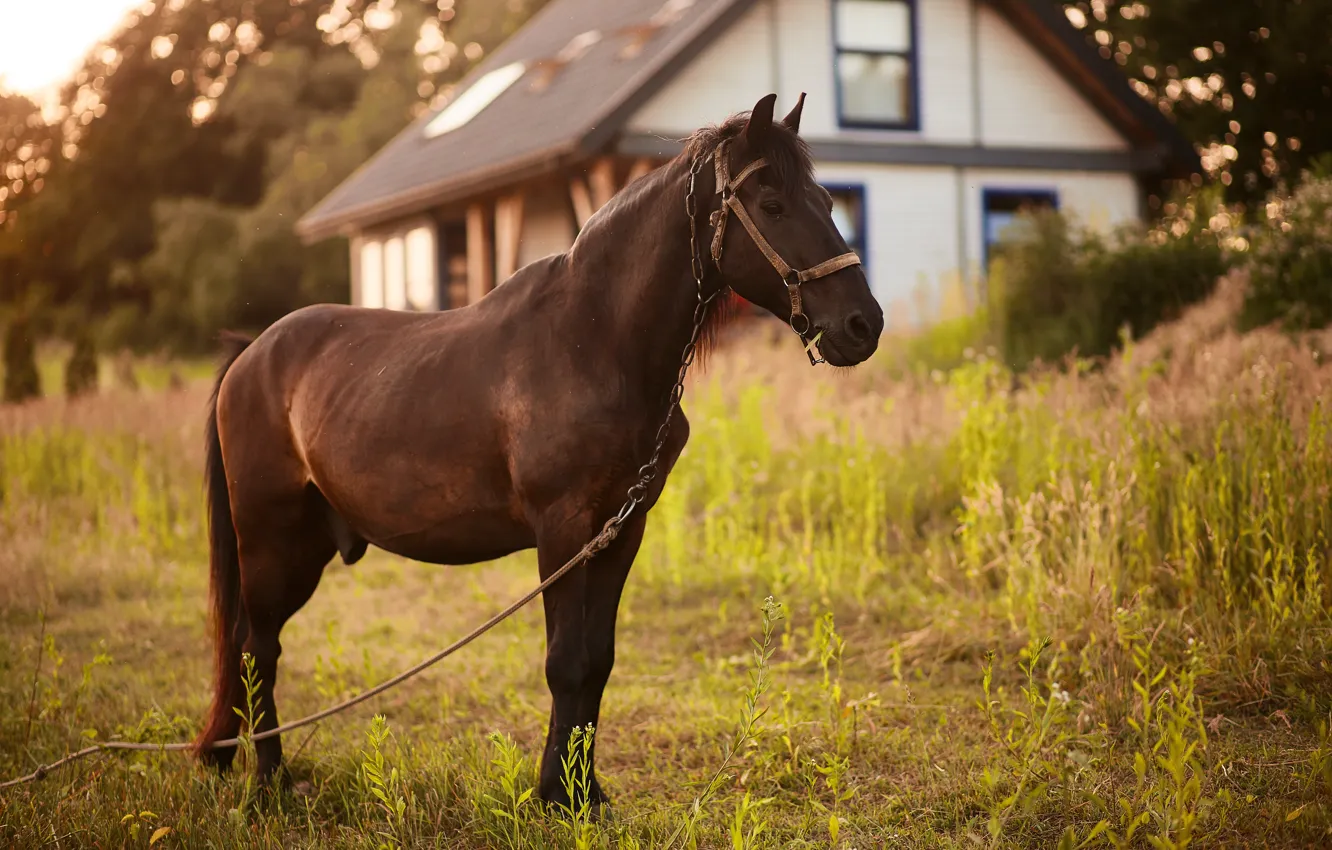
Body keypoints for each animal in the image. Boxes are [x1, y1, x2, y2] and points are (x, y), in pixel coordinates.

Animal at [193, 92, 884, 808]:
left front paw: (586, 792)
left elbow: (597, 662)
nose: (863, 324)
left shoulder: (621, 531)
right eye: (772, 204)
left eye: (826, 201)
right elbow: (565, 662)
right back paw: (270, 783)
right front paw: (557, 793)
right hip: (271, 539)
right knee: (257, 648)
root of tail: (252, 353)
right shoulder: (561, 529)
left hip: (308, 545)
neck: (594, 343)